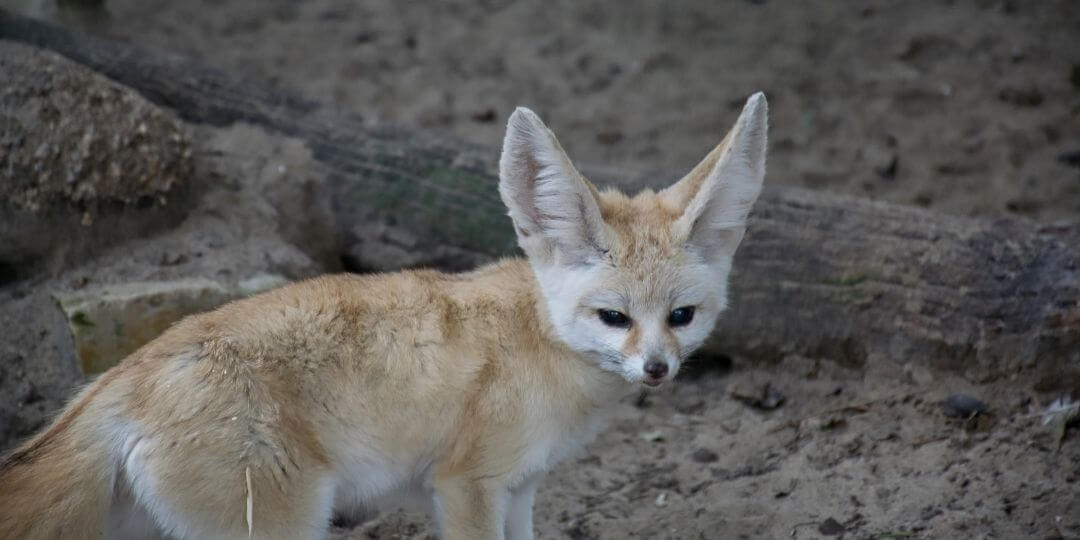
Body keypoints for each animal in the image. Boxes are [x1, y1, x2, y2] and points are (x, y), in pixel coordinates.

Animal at [0, 92, 767, 540]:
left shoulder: (520, 487)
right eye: (613, 317)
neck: (538, 339)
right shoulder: (466, 486)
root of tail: (121, 377)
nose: (658, 369)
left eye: (681, 315)